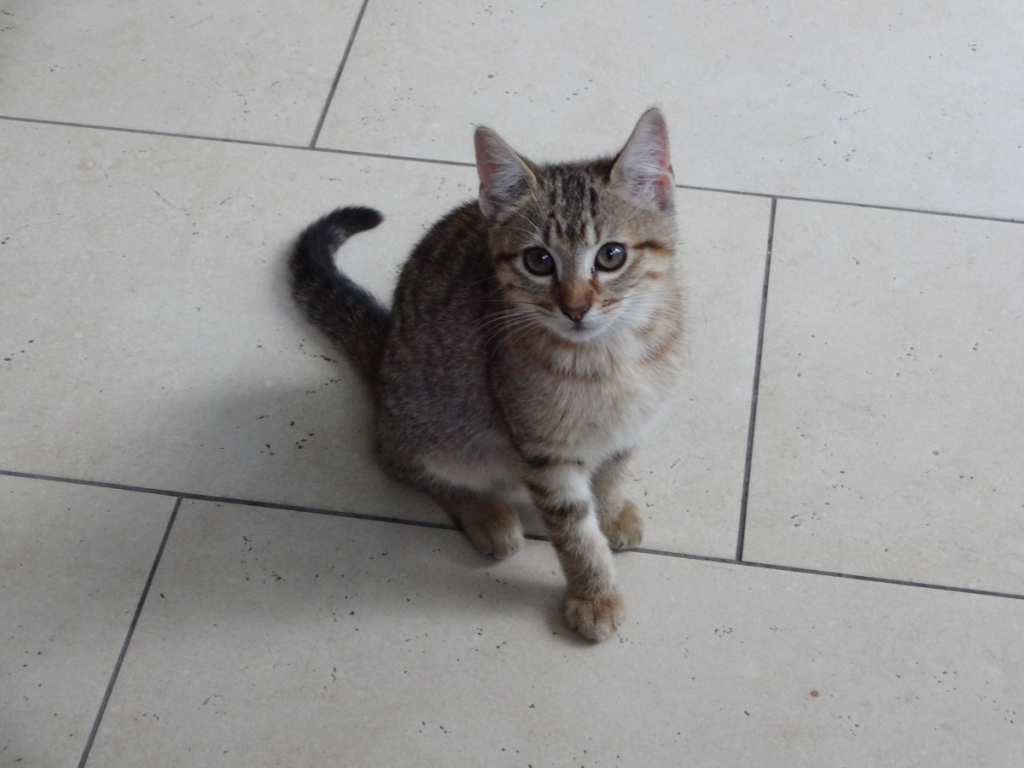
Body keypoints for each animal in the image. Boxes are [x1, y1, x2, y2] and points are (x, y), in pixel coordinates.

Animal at [292, 107, 684, 638]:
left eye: (611, 255)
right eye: (538, 260)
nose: (575, 308)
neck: (611, 354)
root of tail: (387, 346)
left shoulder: (633, 425)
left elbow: (613, 472)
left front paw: (611, 511)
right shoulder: (543, 452)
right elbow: (574, 531)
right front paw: (594, 595)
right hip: (437, 426)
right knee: (399, 462)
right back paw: (485, 514)